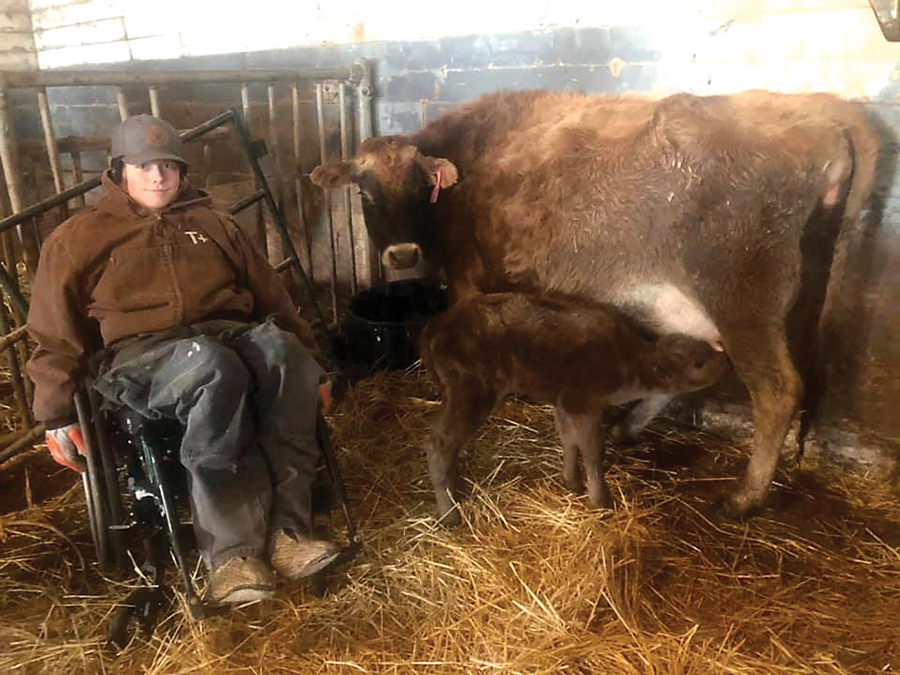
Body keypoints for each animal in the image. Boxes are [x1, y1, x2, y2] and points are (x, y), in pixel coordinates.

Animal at [418, 294, 728, 524]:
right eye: (699, 362)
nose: (725, 359)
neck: (628, 361)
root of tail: (437, 325)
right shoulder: (583, 402)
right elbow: (592, 451)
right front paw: (601, 500)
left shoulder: (564, 401)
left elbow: (569, 440)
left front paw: (572, 482)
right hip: (472, 390)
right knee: (439, 443)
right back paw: (449, 514)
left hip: (456, 392)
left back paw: (457, 490)